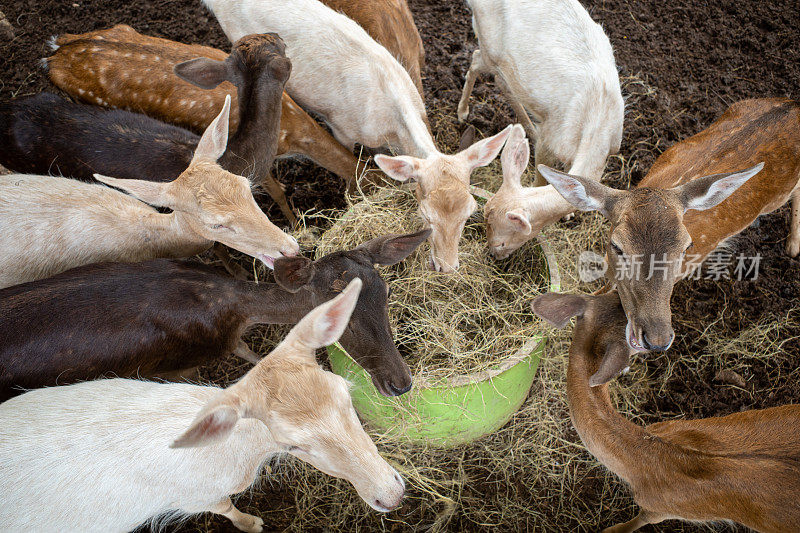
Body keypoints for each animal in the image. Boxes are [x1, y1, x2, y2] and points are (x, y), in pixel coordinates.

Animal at [536, 98, 800, 354]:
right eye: (617, 246)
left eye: (686, 247)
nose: (658, 340)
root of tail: (792, 104)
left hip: (779, 196)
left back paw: (793, 247)